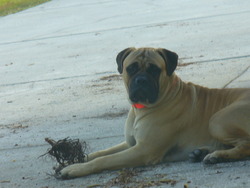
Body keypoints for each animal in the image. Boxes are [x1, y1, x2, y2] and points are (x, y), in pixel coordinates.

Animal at [59, 47, 250, 179]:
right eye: (131, 68)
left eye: (154, 69)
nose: (141, 80)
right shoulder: (130, 143)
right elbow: (99, 153)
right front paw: (76, 160)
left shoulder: (143, 150)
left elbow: (104, 160)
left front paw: (73, 169)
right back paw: (202, 153)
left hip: (217, 120)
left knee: (246, 145)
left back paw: (217, 156)